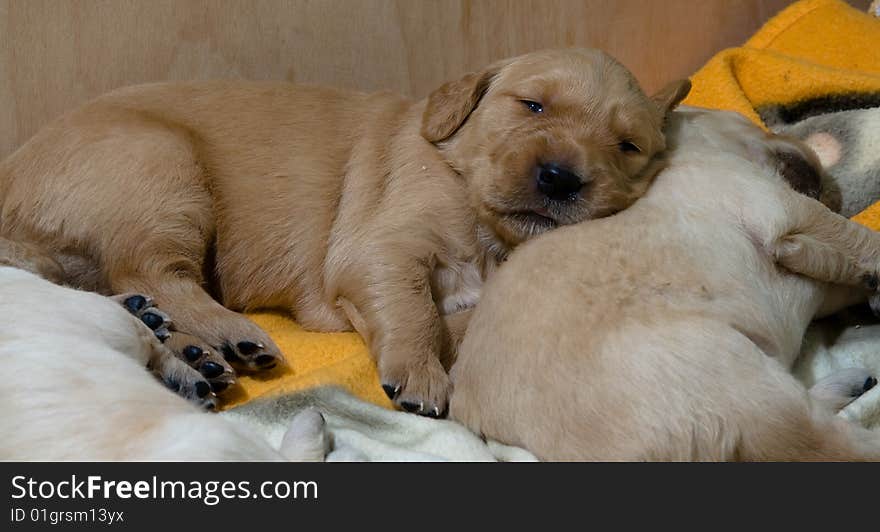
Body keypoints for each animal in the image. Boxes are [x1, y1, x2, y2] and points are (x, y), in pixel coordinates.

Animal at [0, 48, 688, 416]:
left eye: (628, 146)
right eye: (532, 105)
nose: (561, 178)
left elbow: (463, 317)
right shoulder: (380, 246)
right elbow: (413, 307)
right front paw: (420, 375)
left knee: (113, 288)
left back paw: (186, 351)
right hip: (161, 168)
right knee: (151, 271)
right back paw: (229, 337)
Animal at [450, 107, 880, 462]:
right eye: (750, 123)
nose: (821, 165)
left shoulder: (816, 272)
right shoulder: (785, 211)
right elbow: (857, 239)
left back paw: (851, 384)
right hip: (738, 387)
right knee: (826, 446)